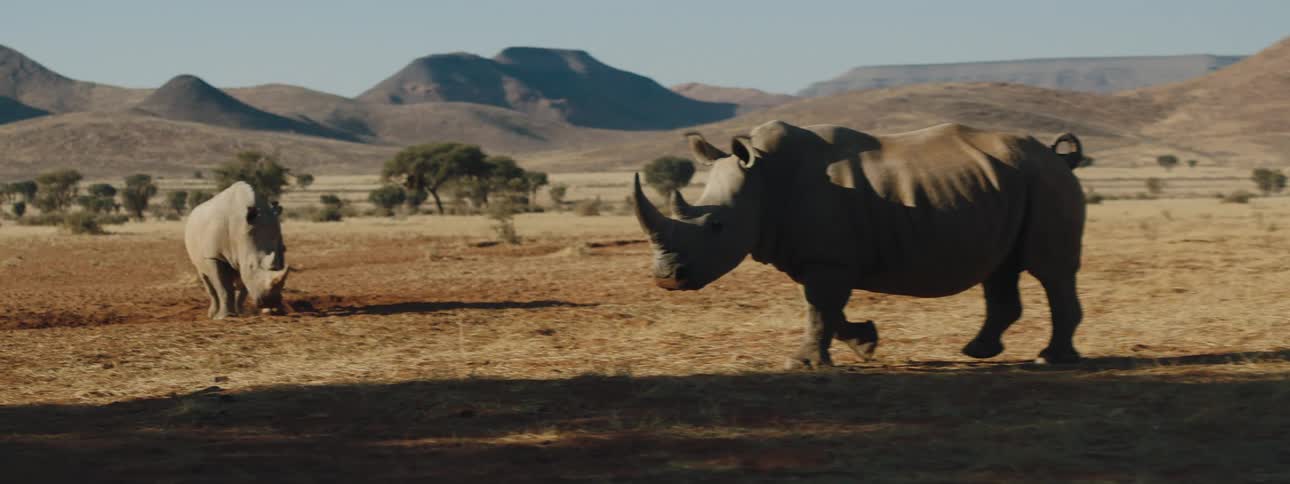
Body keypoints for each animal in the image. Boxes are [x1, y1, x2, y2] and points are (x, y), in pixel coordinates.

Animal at [184, 181, 289, 319]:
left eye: (279, 262)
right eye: (251, 265)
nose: (270, 302)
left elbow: (244, 287)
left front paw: (241, 313)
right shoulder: (215, 255)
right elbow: (224, 287)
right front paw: (225, 316)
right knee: (205, 277)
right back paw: (211, 314)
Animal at [633, 120, 1087, 369]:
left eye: (716, 227)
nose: (666, 278)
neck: (762, 177)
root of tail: (1056, 155)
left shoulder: (827, 258)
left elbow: (819, 307)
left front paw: (801, 364)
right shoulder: (820, 256)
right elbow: (825, 308)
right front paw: (866, 343)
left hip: (1045, 181)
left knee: (1051, 271)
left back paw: (1050, 358)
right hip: (1011, 185)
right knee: (1000, 267)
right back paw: (979, 351)